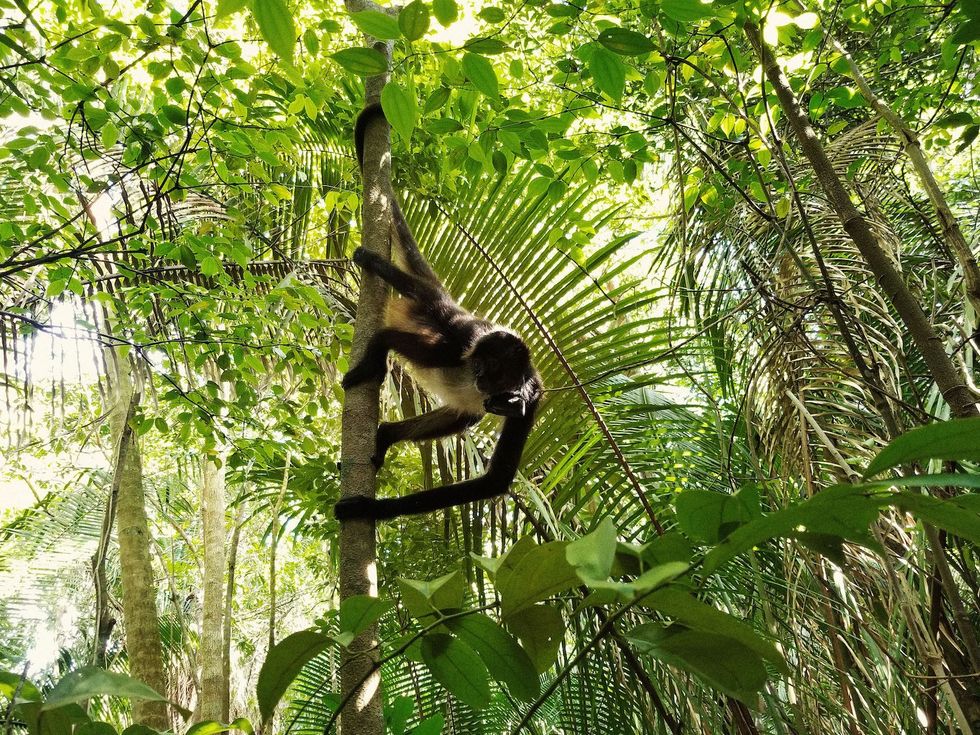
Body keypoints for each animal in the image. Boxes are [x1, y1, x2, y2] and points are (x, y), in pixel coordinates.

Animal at [333, 103, 543, 521]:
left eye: (495, 372)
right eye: (482, 366)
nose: (480, 378)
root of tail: (450, 302)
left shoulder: (533, 397)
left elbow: (494, 481)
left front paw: (369, 510)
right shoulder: (459, 349)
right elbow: (387, 338)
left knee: (468, 414)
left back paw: (386, 435)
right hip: (434, 310)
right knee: (413, 302)